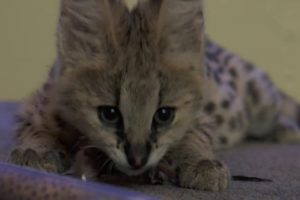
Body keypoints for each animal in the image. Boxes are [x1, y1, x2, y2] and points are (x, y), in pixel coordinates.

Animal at [8, 0, 300, 191]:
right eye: (109, 113)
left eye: (164, 115)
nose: (138, 159)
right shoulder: (33, 108)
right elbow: (37, 130)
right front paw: (36, 150)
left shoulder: (199, 118)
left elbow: (194, 138)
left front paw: (202, 163)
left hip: (261, 99)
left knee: (283, 106)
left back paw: (287, 130)